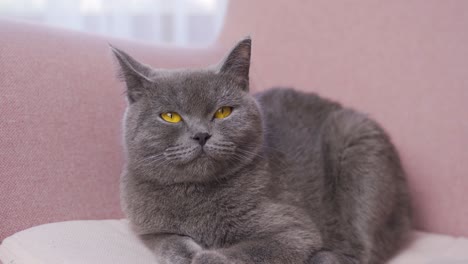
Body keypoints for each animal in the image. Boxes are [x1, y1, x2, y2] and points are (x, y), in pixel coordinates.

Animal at [111, 37, 412, 264]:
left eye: (223, 112)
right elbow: (168, 241)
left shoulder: (293, 231)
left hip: (357, 147)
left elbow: (254, 250)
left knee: (361, 249)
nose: (201, 135)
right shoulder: (147, 228)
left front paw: (207, 257)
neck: (193, 195)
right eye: (170, 116)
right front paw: (186, 253)